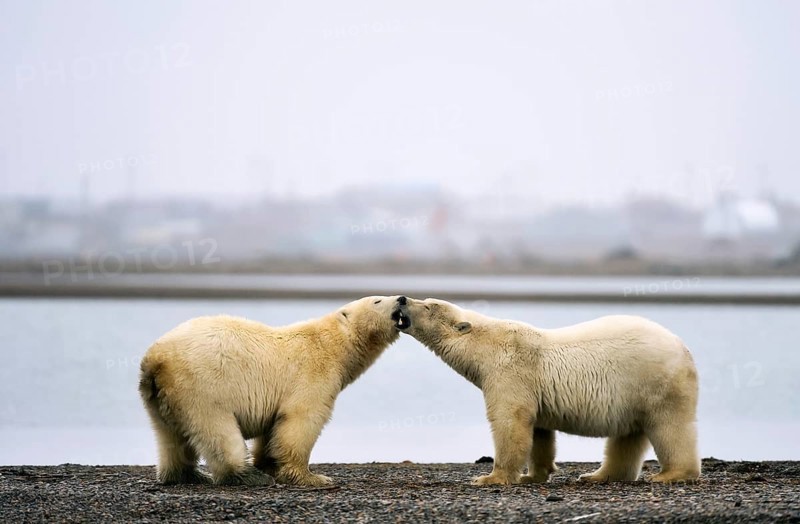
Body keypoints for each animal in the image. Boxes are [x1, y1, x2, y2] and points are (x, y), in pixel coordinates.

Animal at [139, 296, 402, 487]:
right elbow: (301, 421)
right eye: (377, 300)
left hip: (161, 397)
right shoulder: (312, 375)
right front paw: (312, 477)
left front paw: (270, 464)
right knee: (218, 431)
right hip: (201, 387)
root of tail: (155, 359)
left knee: (169, 437)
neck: (333, 346)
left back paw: (187, 474)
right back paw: (248, 476)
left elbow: (273, 429)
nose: (401, 299)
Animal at [391, 296, 700, 485]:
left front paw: (490, 478)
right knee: (627, 437)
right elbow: (539, 431)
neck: (487, 345)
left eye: (429, 305)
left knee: (669, 427)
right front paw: (534, 475)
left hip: (655, 382)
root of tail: (683, 348)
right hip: (634, 393)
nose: (402, 299)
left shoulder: (510, 371)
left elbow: (510, 420)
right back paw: (597, 475)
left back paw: (670, 474)